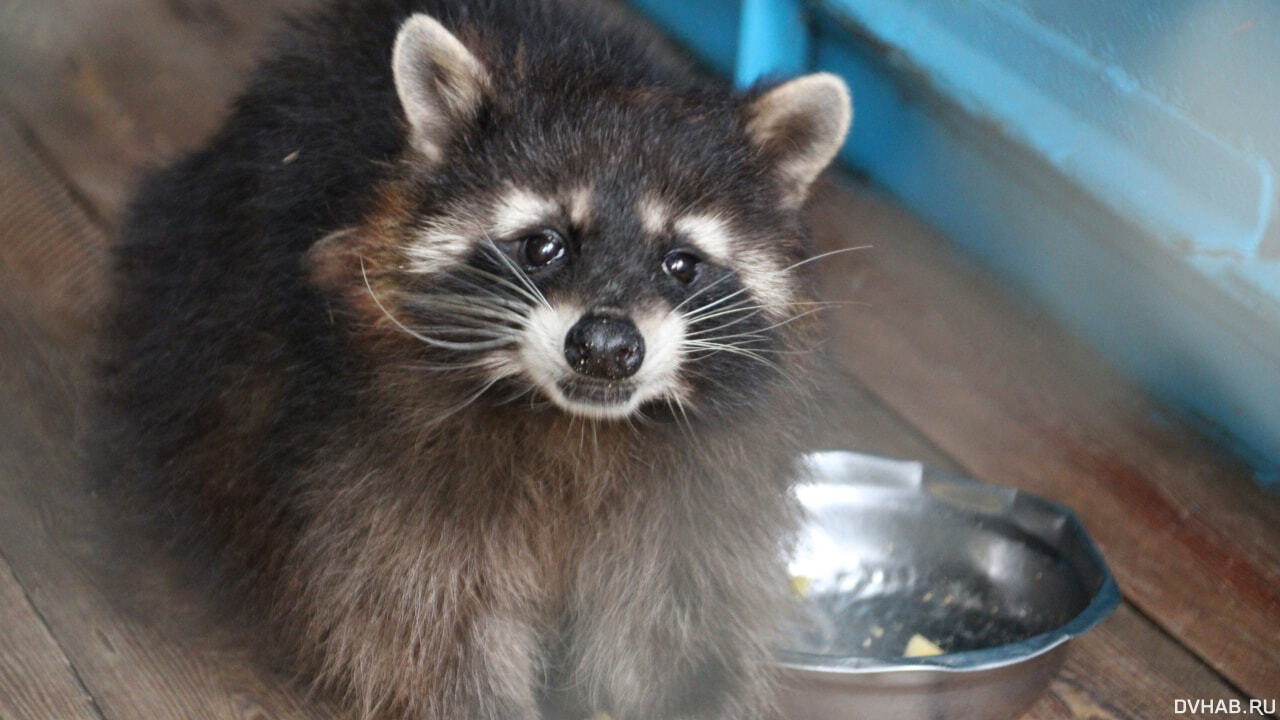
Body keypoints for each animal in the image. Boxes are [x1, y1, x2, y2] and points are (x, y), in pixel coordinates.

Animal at [99, 1, 849, 717]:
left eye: (682, 264)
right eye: (544, 246)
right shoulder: (379, 467)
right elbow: (422, 621)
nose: (607, 349)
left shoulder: (699, 493)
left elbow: (675, 623)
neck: (579, 429)